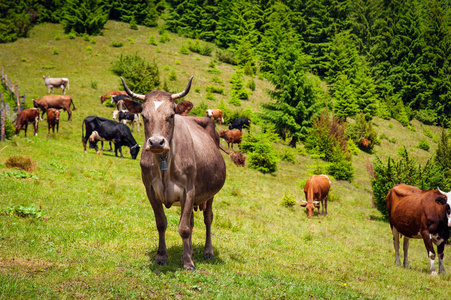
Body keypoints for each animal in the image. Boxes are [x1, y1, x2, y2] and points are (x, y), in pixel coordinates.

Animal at [121, 75, 228, 272]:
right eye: (144, 116)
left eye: (171, 115)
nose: (156, 142)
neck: (164, 162)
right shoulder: (150, 190)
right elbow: (162, 223)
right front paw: (162, 256)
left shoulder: (189, 190)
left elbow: (184, 228)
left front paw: (188, 263)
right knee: (192, 221)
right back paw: (190, 250)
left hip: (210, 194)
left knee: (207, 219)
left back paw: (208, 252)